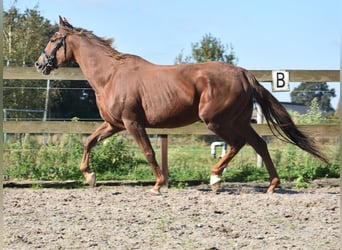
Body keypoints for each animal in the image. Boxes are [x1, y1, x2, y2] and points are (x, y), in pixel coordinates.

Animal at [36, 16, 328, 194]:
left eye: (52, 39)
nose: (40, 64)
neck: (110, 75)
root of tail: (244, 73)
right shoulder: (113, 124)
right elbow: (88, 142)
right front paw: (89, 176)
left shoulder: (132, 123)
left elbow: (149, 152)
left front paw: (158, 184)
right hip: (239, 120)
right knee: (259, 144)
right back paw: (271, 184)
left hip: (217, 120)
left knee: (238, 143)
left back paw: (215, 177)